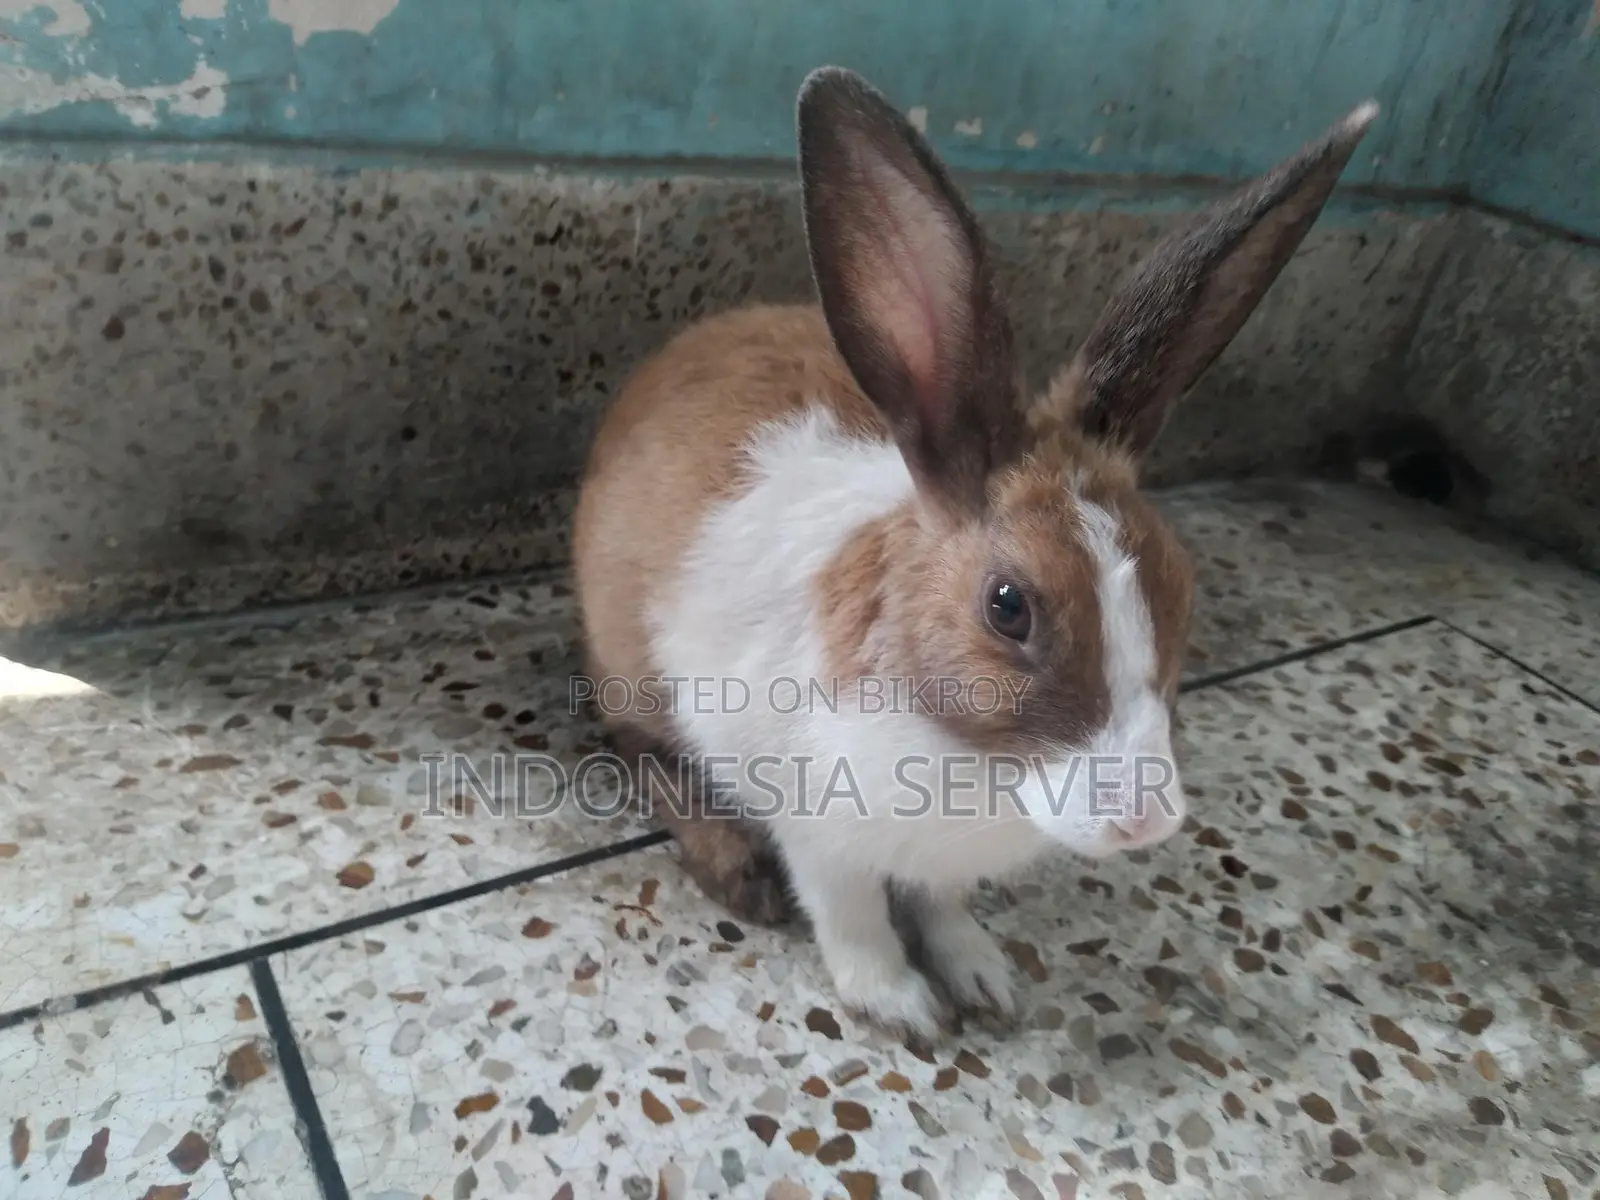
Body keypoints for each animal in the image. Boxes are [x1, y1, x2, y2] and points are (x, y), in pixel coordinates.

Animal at [572, 65, 1377, 1038]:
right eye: (1008, 607)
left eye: (1182, 585)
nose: (1144, 824)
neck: (964, 752)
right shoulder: (818, 832)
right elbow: (853, 916)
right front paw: (903, 1006)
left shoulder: (939, 865)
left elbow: (943, 908)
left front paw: (984, 978)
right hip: (633, 672)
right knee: (642, 752)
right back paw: (736, 870)